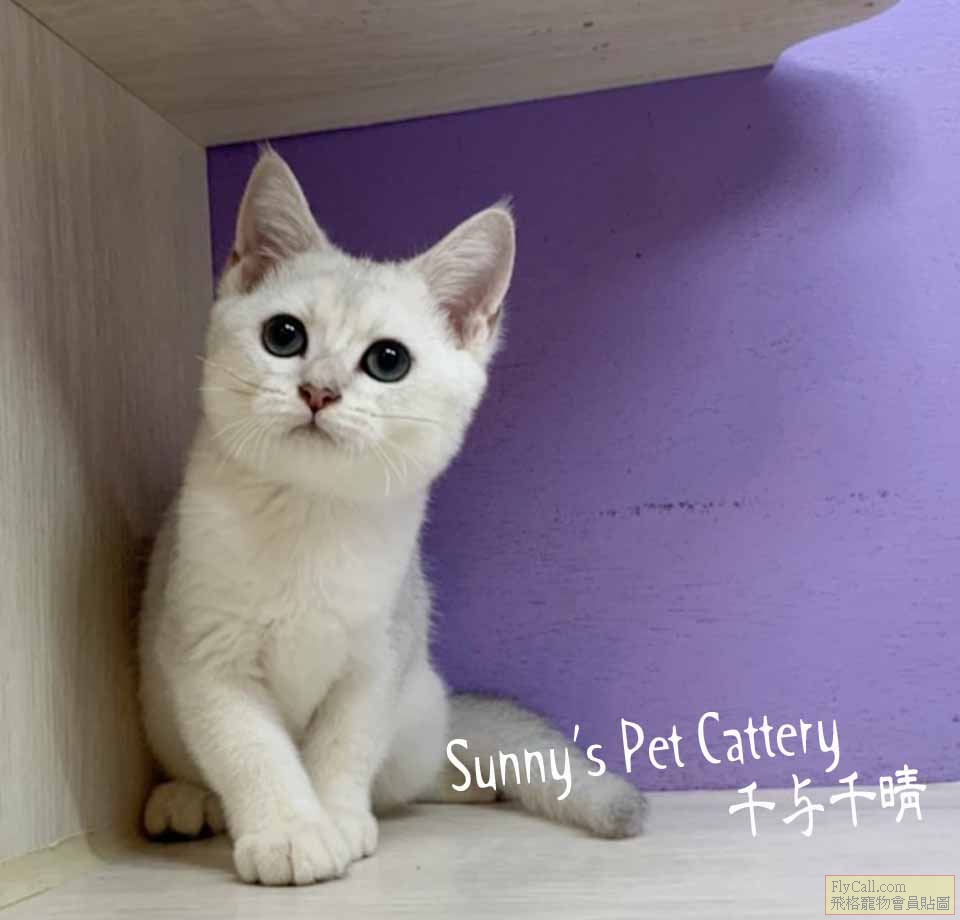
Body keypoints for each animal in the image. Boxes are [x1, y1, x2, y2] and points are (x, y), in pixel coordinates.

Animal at [138, 149, 646, 886]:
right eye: (283, 335)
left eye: (388, 360)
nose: (318, 390)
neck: (310, 519)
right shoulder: (207, 655)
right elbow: (252, 751)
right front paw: (290, 830)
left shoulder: (378, 658)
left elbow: (342, 749)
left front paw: (334, 820)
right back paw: (186, 799)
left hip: (415, 707)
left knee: (410, 774)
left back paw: (458, 786)